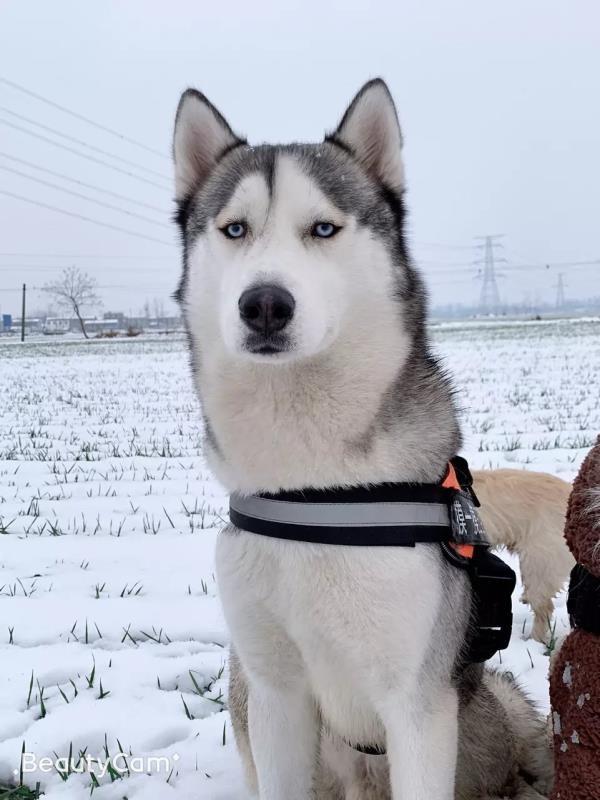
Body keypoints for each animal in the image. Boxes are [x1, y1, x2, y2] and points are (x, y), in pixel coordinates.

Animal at [171, 81, 552, 800]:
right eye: (234, 229)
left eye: (323, 228)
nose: (264, 305)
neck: (315, 489)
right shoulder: (276, 694)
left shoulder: (418, 706)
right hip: (245, 691)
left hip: (485, 713)